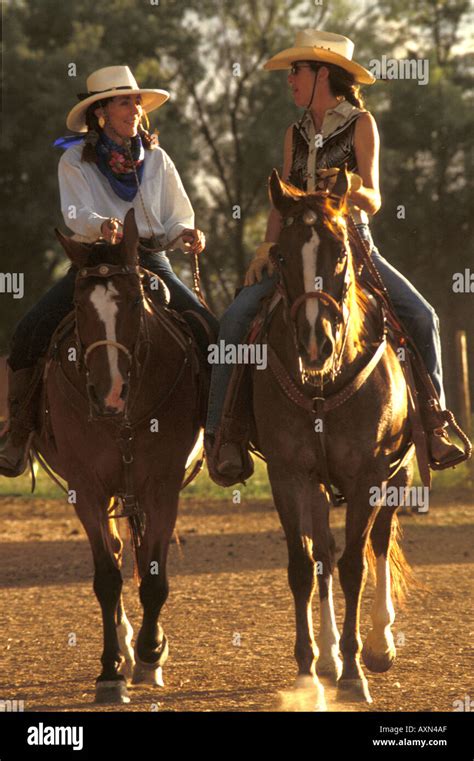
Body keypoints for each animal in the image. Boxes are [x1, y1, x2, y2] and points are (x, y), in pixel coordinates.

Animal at [34, 211, 202, 704]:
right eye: (79, 306)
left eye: (133, 302)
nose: (109, 394)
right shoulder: (86, 488)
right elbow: (108, 578)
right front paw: (110, 671)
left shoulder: (162, 487)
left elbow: (154, 574)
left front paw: (152, 650)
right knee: (116, 549)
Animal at [254, 169, 412, 708]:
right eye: (281, 255)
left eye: (341, 250)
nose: (315, 341)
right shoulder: (287, 474)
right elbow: (305, 566)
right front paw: (310, 672)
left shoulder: (368, 474)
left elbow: (354, 567)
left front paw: (355, 673)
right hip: (319, 486)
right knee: (322, 552)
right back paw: (327, 657)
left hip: (399, 473)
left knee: (379, 541)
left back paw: (380, 643)